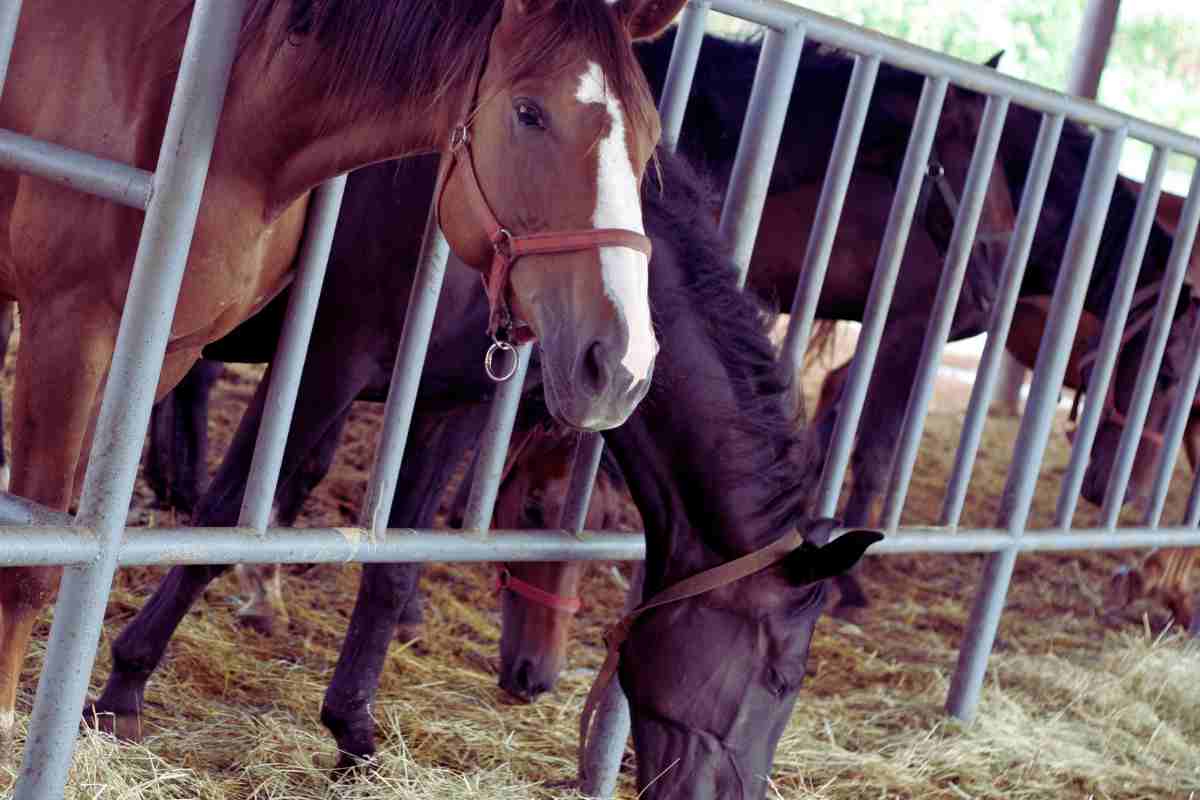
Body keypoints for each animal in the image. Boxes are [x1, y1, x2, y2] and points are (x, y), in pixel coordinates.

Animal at [89, 147, 880, 798]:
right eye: (782, 676)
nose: (536, 681)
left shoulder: (450, 404)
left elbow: (393, 567)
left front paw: (353, 735)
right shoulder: (322, 366)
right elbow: (228, 521)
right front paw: (122, 690)